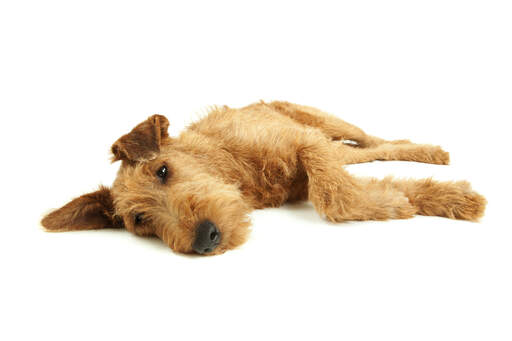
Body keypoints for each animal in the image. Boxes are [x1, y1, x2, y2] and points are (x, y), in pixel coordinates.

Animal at [42, 101, 486, 255]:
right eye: (140, 220)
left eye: (163, 170)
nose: (205, 238)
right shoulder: (313, 160)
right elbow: (342, 189)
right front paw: (435, 199)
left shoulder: (304, 143)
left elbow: (335, 197)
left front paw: (396, 202)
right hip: (333, 142)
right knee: (368, 152)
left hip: (324, 122)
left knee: (376, 140)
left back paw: (429, 152)